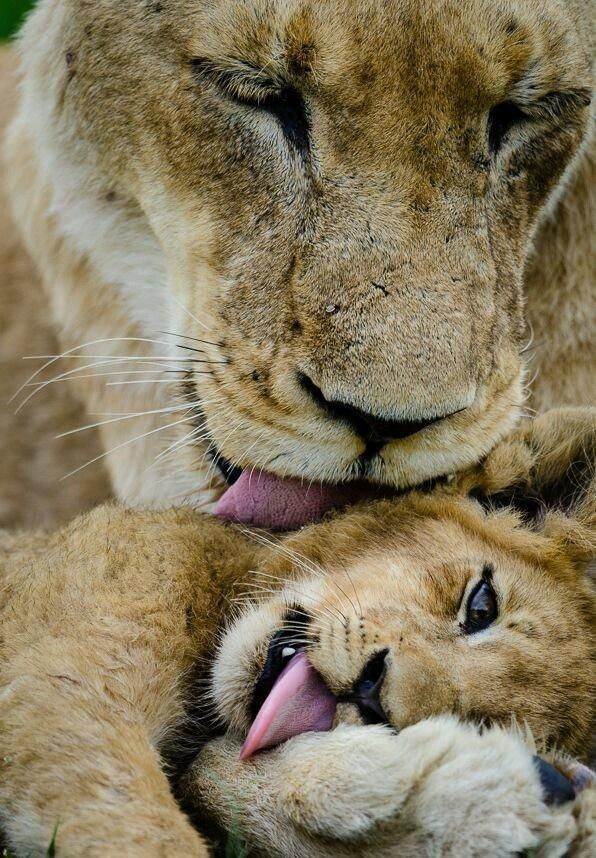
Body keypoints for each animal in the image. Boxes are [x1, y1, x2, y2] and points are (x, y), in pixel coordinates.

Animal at [1, 408, 594, 857]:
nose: (372, 691)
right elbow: (134, 825)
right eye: (481, 605)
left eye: (477, 719)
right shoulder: (57, 687)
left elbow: (215, 779)